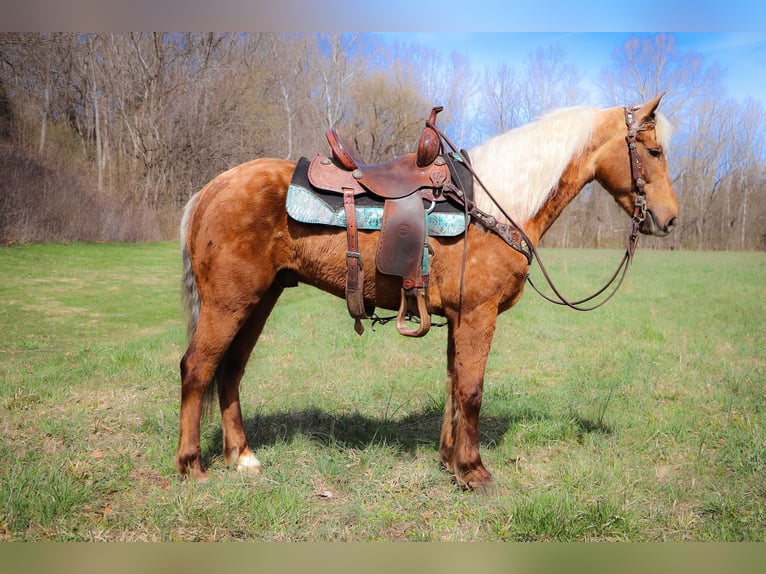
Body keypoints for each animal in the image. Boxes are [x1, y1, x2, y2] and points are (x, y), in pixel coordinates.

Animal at [174, 94, 680, 490]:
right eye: (654, 150)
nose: (670, 219)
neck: (494, 204)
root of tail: (210, 189)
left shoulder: (459, 317)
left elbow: (455, 385)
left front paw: (451, 462)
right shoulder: (478, 314)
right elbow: (472, 390)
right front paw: (475, 472)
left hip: (261, 298)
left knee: (231, 370)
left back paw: (242, 457)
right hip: (229, 301)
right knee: (197, 368)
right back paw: (192, 466)